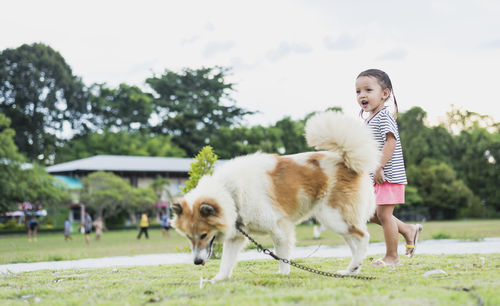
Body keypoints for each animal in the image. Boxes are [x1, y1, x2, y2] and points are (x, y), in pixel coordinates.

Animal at [172, 111, 378, 280]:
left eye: (203, 235)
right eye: (189, 236)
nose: (197, 262)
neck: (230, 193)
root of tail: (346, 161)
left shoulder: (280, 228)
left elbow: (282, 256)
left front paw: (283, 274)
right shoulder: (236, 236)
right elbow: (226, 261)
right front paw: (219, 279)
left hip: (333, 216)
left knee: (363, 236)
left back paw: (354, 266)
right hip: (337, 221)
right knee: (355, 242)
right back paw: (352, 270)